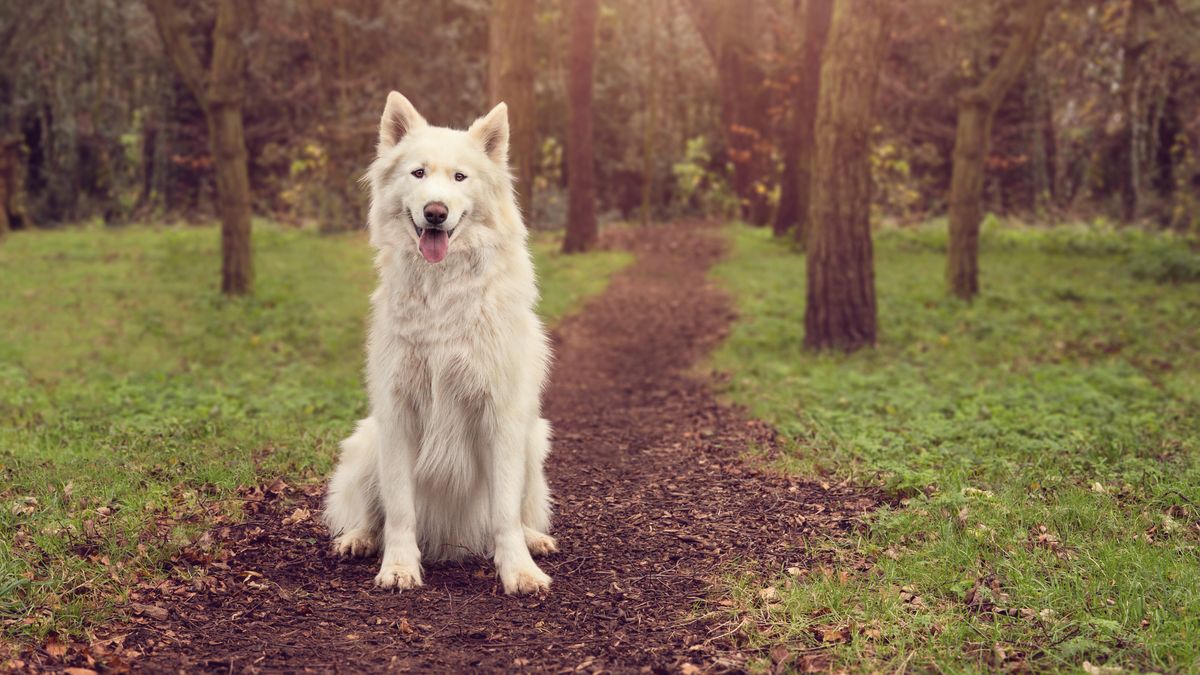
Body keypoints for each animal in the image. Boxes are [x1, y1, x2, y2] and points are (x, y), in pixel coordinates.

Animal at [324, 91, 556, 590]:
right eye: (418, 173)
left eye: (459, 177)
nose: (436, 212)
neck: (441, 291)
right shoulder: (398, 414)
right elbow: (399, 510)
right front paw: (398, 566)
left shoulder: (501, 416)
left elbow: (504, 513)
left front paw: (518, 570)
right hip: (367, 440)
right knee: (370, 513)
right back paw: (359, 538)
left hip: (534, 440)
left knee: (522, 512)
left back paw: (534, 540)